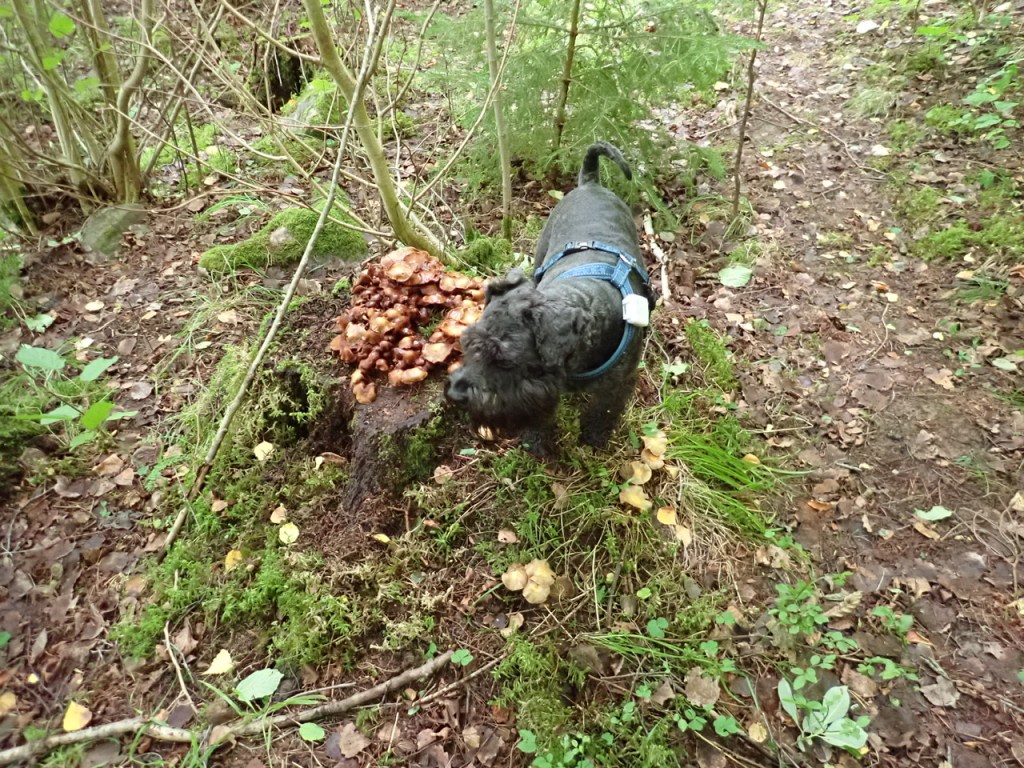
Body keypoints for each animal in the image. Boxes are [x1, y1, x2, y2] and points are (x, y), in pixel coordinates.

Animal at [446, 141, 653, 456]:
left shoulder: (616, 387)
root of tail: (591, 183)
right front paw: (537, 441)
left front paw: (594, 438)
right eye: (468, 344)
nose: (455, 393)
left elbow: (602, 412)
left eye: (505, 360)